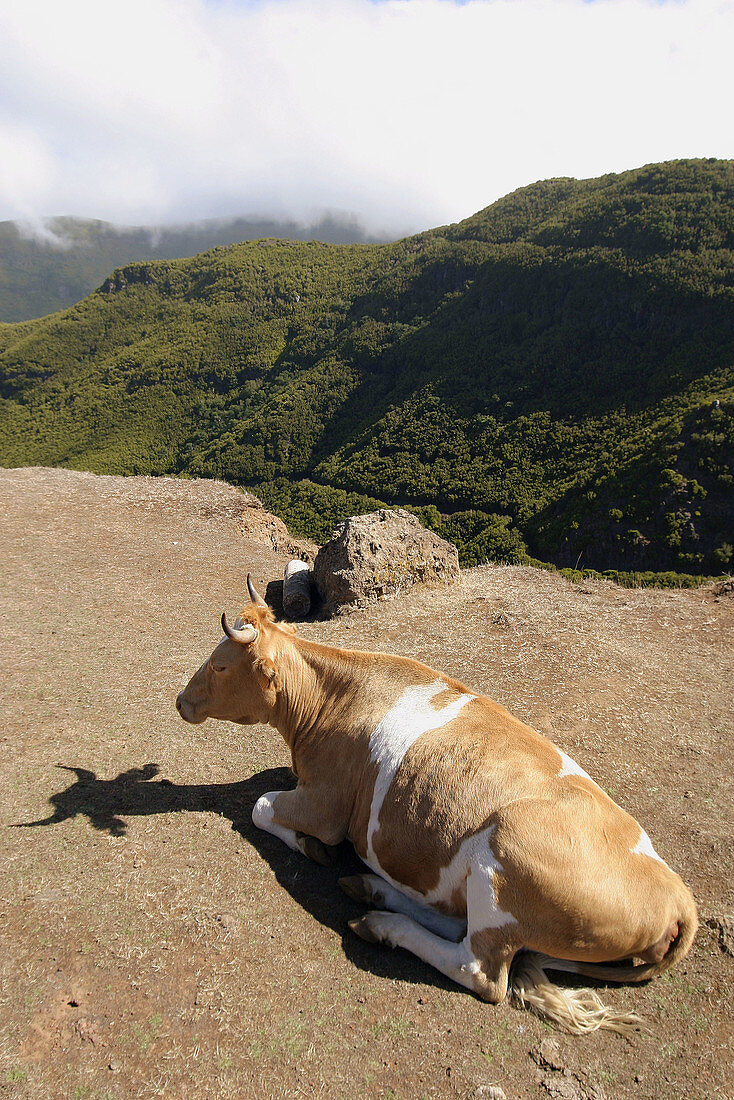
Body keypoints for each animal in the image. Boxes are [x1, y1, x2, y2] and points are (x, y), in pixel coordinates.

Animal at [174, 576, 699, 1029]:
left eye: (220, 665)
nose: (181, 701)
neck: (328, 700)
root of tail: (677, 897)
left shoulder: (326, 805)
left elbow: (262, 805)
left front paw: (311, 847)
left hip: (503, 866)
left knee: (478, 969)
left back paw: (384, 924)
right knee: (454, 923)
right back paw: (374, 892)